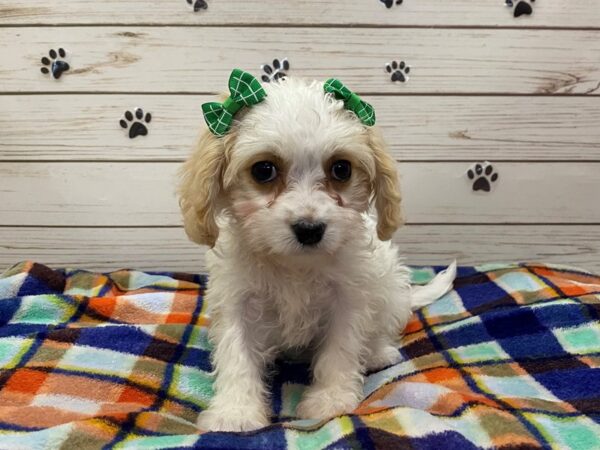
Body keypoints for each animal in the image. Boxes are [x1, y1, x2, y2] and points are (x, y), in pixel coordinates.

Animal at [178, 75, 454, 430]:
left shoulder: (348, 298)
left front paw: (330, 401)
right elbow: (236, 354)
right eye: (264, 170)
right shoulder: (237, 299)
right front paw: (235, 412)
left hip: (390, 288)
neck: (294, 265)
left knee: (382, 328)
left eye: (341, 169)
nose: (309, 228)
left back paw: (378, 352)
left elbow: (340, 349)